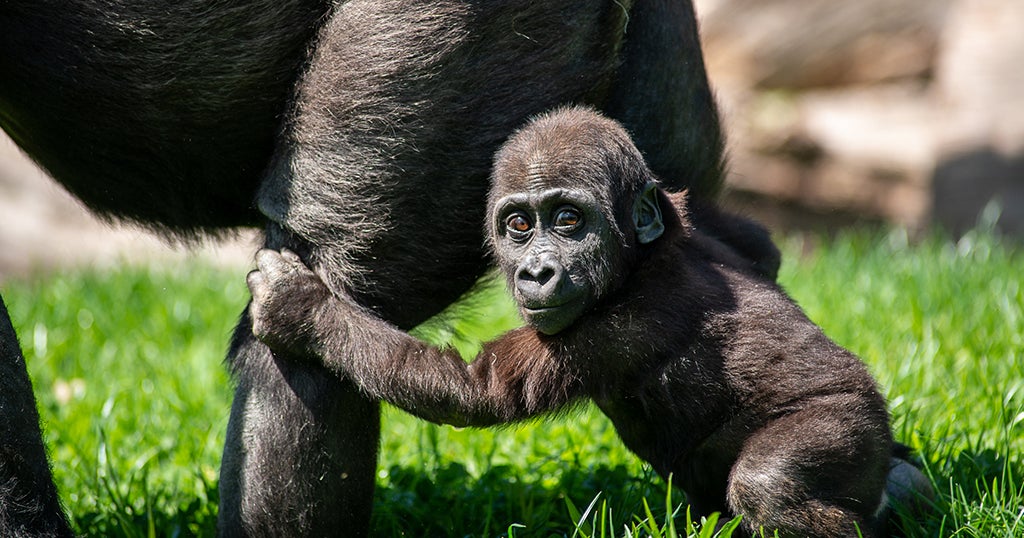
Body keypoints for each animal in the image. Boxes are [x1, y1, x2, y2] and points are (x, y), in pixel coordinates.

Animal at [246, 106, 930, 537]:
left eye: (569, 220)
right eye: (519, 225)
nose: (535, 273)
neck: (642, 258)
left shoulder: (617, 324)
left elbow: (475, 390)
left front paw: (305, 311)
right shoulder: (701, 232)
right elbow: (753, 244)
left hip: (849, 421)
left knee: (774, 483)